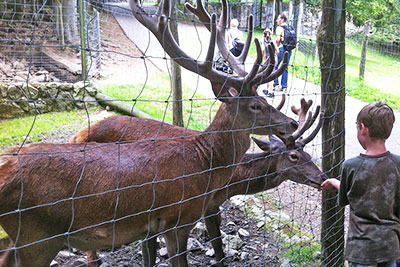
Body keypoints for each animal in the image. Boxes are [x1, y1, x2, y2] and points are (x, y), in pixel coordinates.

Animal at [0, 0, 296, 266]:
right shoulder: (177, 219)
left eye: (265, 99)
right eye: (256, 105)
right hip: (38, 235)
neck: (204, 163)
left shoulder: (154, 226)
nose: (292, 123)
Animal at [73, 99, 326, 267]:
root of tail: (80, 133)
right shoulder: (205, 204)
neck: (232, 181)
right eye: (294, 156)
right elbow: (216, 244)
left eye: (308, 154)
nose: (322, 178)